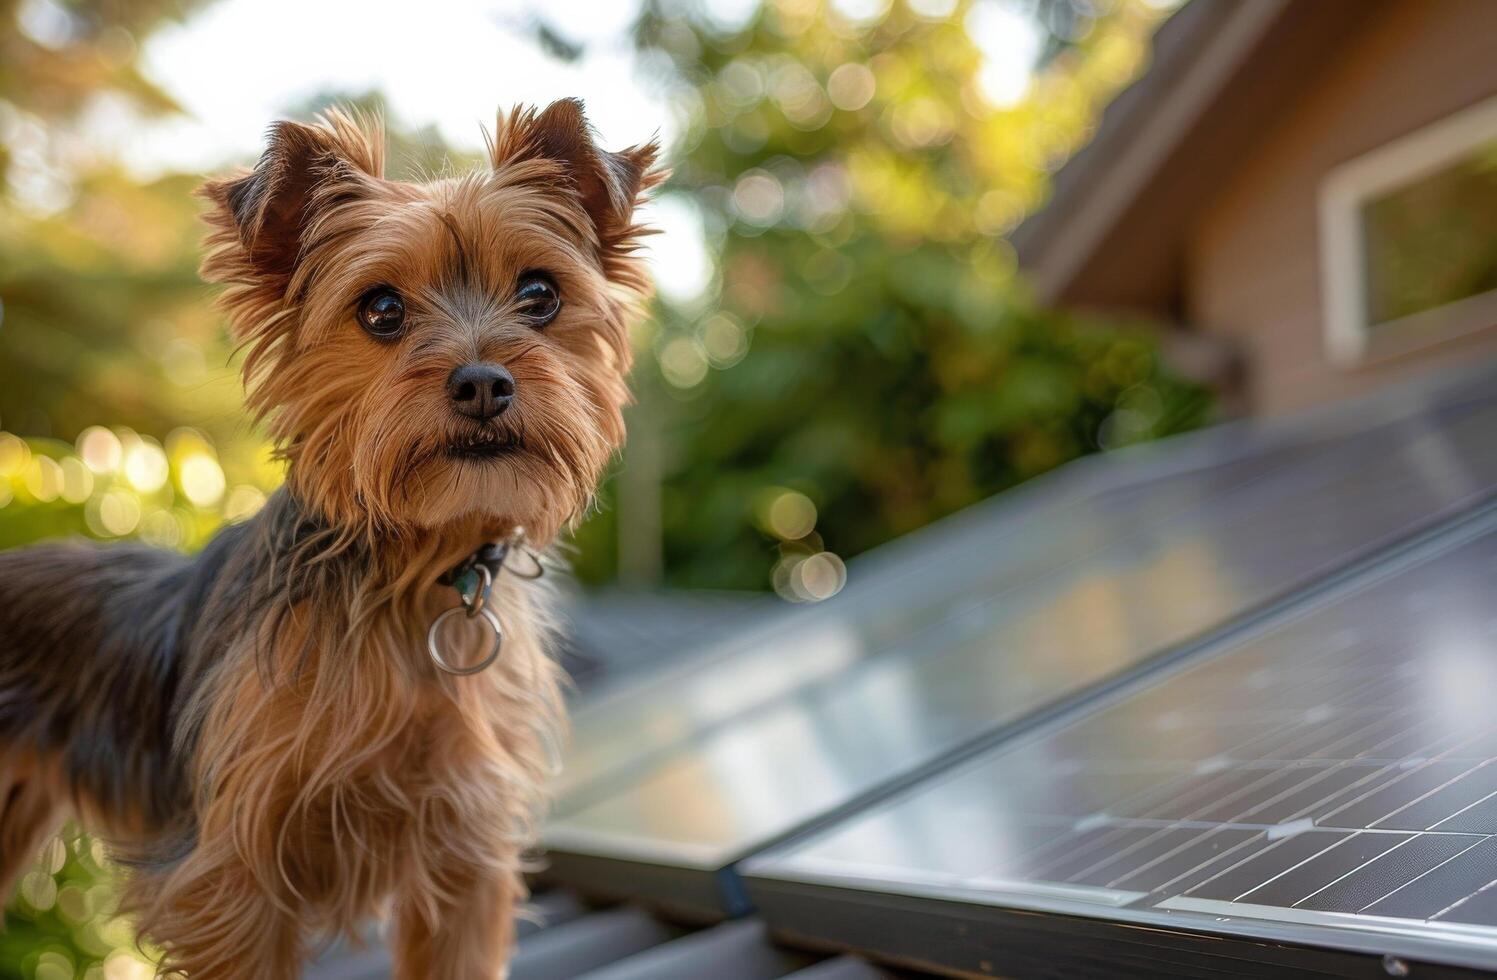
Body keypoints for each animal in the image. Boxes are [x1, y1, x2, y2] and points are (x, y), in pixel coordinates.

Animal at [0, 98, 661, 975]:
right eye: (381, 309)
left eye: (540, 293)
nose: (483, 383)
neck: (414, 574)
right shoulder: (233, 876)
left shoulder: (466, 853)